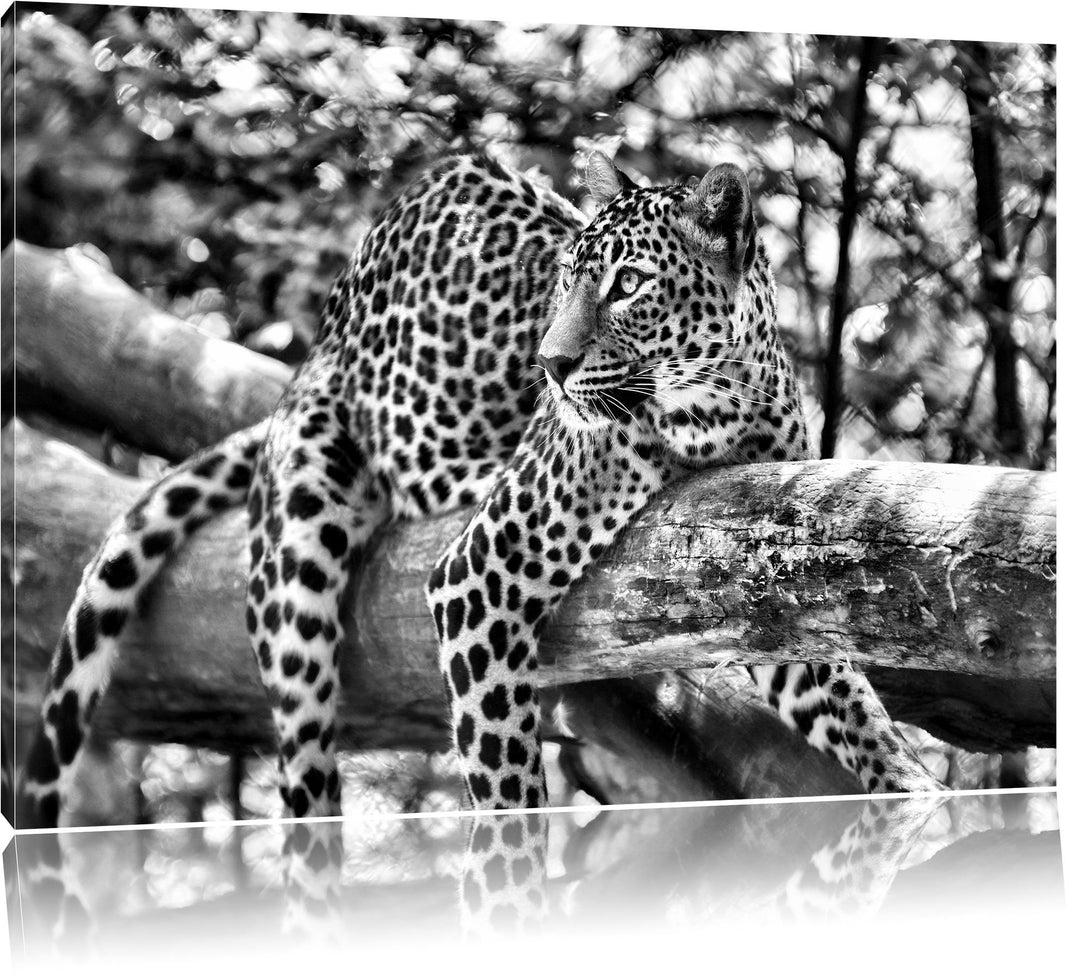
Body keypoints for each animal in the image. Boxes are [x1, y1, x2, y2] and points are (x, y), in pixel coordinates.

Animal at [17, 151, 943, 855]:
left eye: (628, 284)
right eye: (567, 282)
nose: (550, 365)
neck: (719, 407)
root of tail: (309, 357)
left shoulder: (765, 577)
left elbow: (849, 704)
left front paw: (915, 792)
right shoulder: (479, 575)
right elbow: (505, 790)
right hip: (299, 559)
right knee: (306, 776)